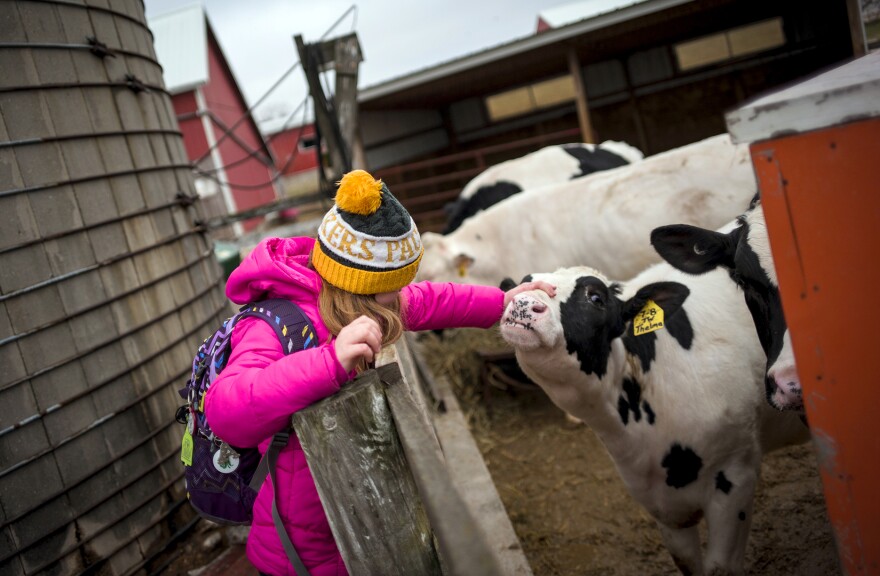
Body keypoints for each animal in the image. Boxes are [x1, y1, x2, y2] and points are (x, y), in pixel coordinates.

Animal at [502, 264, 812, 576]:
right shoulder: (659, 501)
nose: (524, 303)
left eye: (596, 297)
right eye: (524, 283)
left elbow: (719, 567)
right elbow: (687, 561)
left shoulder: (735, 477)